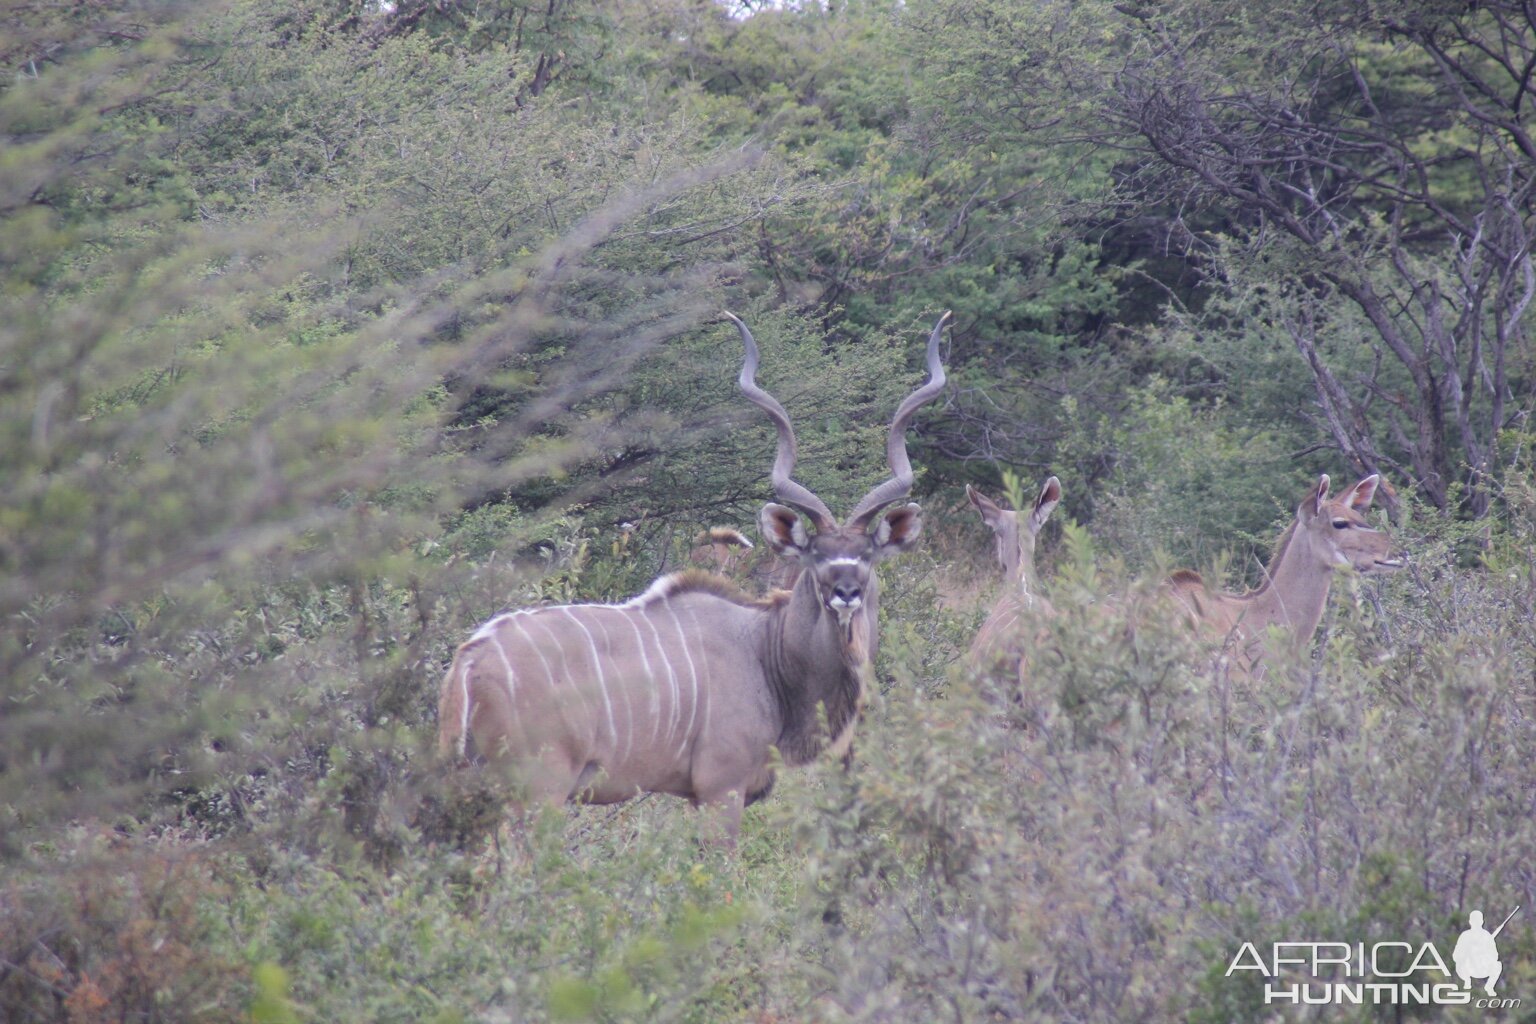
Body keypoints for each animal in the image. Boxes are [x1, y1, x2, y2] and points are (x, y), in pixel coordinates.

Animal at [436, 310, 946, 841]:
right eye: (815, 555)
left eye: (866, 555)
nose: (846, 592)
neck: (765, 650)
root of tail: (471, 659)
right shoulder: (722, 789)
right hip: (540, 791)